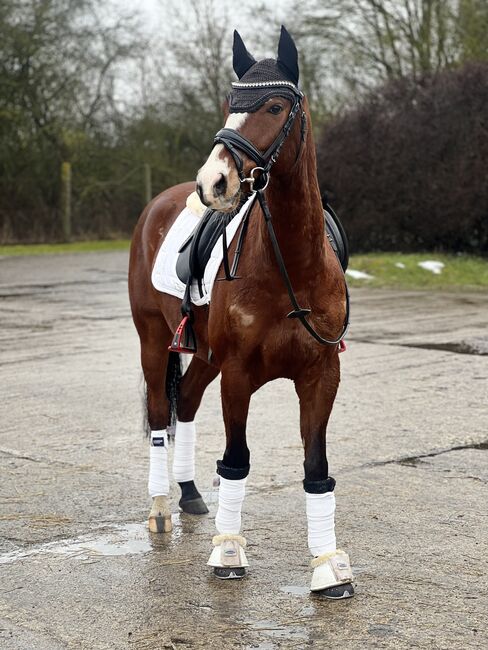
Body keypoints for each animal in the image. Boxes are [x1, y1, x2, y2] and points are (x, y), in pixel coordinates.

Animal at [128, 26, 354, 598]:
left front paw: (329, 565)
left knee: (185, 401)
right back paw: (161, 508)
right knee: (161, 416)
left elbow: (316, 467)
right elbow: (236, 461)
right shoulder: (238, 375)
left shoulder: (321, 375)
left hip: (206, 354)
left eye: (274, 105)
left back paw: (188, 494)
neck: (290, 264)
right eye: (232, 103)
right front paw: (228, 551)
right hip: (153, 340)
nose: (214, 182)